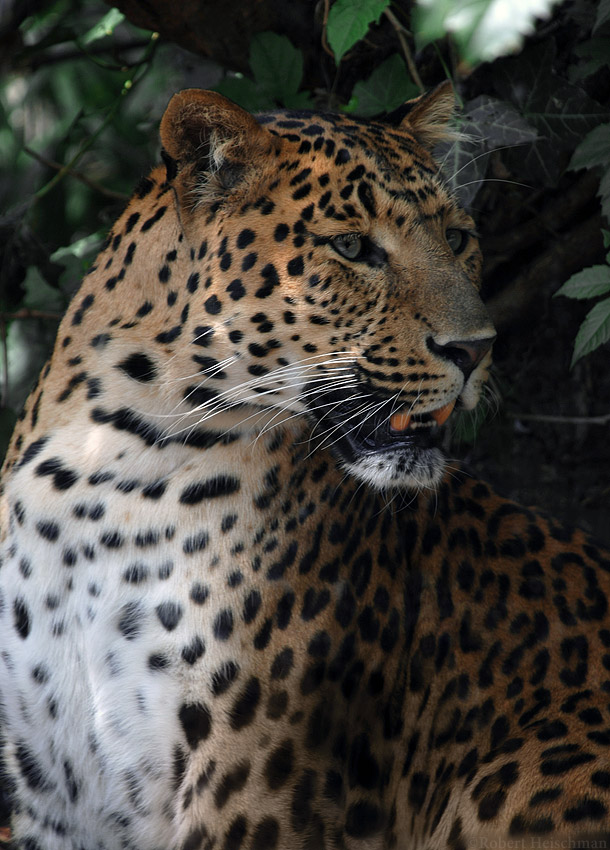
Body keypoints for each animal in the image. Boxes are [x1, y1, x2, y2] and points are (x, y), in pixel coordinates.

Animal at [1, 81, 608, 848]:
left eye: (457, 238)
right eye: (352, 247)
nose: (476, 348)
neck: (108, 471)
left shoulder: (250, 791)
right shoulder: (48, 791)